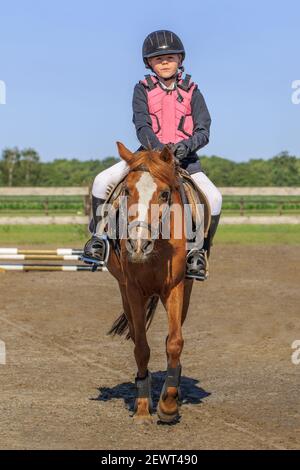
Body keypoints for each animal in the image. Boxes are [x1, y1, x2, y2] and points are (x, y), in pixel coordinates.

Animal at [104, 141, 196, 424]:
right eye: (126, 190)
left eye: (165, 194)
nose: (137, 245)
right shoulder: (133, 290)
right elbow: (141, 347)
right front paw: (144, 406)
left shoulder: (175, 287)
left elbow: (174, 342)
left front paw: (169, 404)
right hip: (124, 290)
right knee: (137, 335)